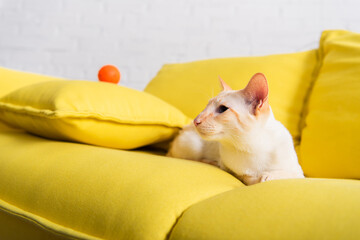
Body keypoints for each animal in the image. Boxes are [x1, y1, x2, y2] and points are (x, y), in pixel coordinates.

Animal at [167, 73, 304, 186]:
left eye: (222, 109)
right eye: (206, 107)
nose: (196, 120)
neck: (252, 147)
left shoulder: (299, 173)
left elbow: (283, 175)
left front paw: (266, 176)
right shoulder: (232, 168)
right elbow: (248, 177)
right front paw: (259, 177)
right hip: (192, 146)